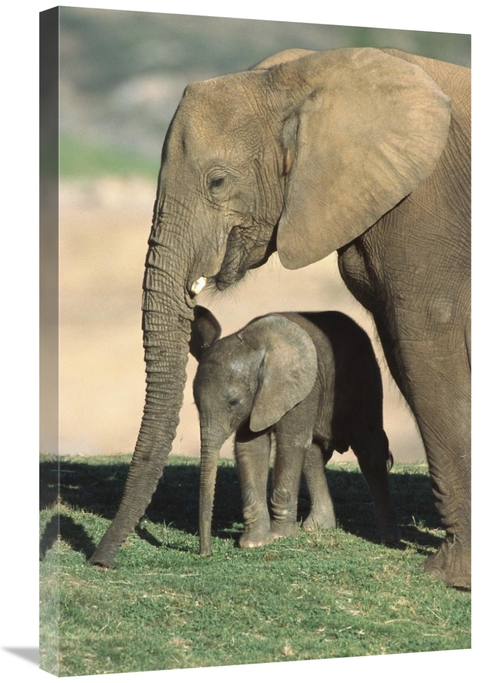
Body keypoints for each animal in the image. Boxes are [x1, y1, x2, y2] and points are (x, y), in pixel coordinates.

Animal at [189, 305, 400, 556]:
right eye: (195, 403)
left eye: (233, 402)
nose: (205, 553)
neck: (254, 347)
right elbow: (251, 447)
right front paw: (254, 543)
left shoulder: (302, 387)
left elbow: (290, 442)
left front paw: (279, 537)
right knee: (313, 454)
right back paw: (317, 527)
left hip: (365, 376)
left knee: (369, 449)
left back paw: (387, 536)